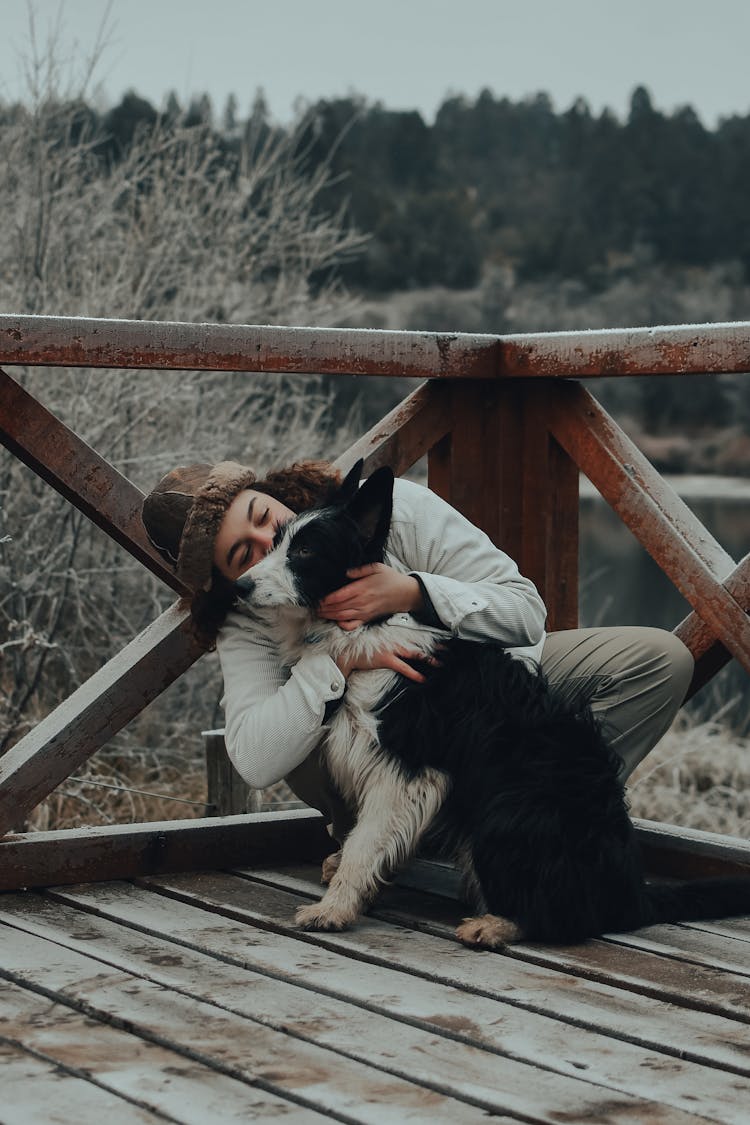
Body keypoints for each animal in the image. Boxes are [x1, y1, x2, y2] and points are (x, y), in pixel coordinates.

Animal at [239, 461, 750, 945]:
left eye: (306, 551)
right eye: (277, 542)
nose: (240, 587)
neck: (366, 628)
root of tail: (631, 894)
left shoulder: (407, 770)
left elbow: (366, 842)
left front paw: (334, 909)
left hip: (507, 809)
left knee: (568, 917)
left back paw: (498, 925)